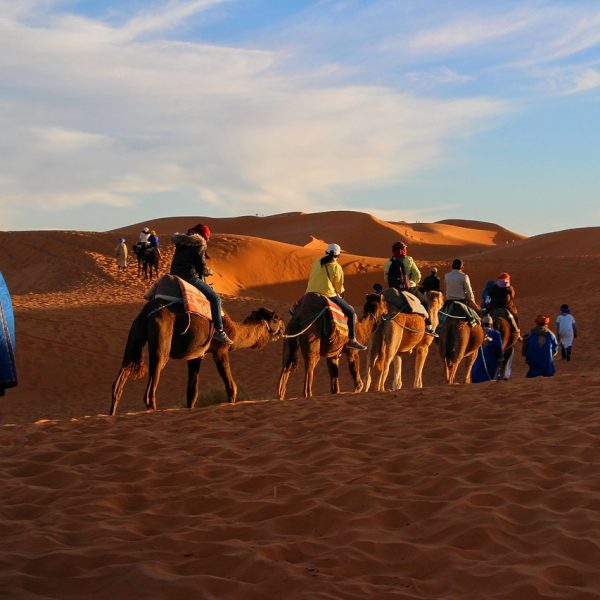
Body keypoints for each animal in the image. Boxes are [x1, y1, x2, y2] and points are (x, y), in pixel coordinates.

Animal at [110, 300, 284, 418]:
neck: (234, 332)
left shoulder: (195, 355)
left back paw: (112, 414)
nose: (283, 327)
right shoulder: (220, 351)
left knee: (121, 376)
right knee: (151, 388)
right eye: (275, 318)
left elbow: (192, 391)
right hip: (161, 340)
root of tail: (146, 313)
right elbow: (231, 386)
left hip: (135, 335)